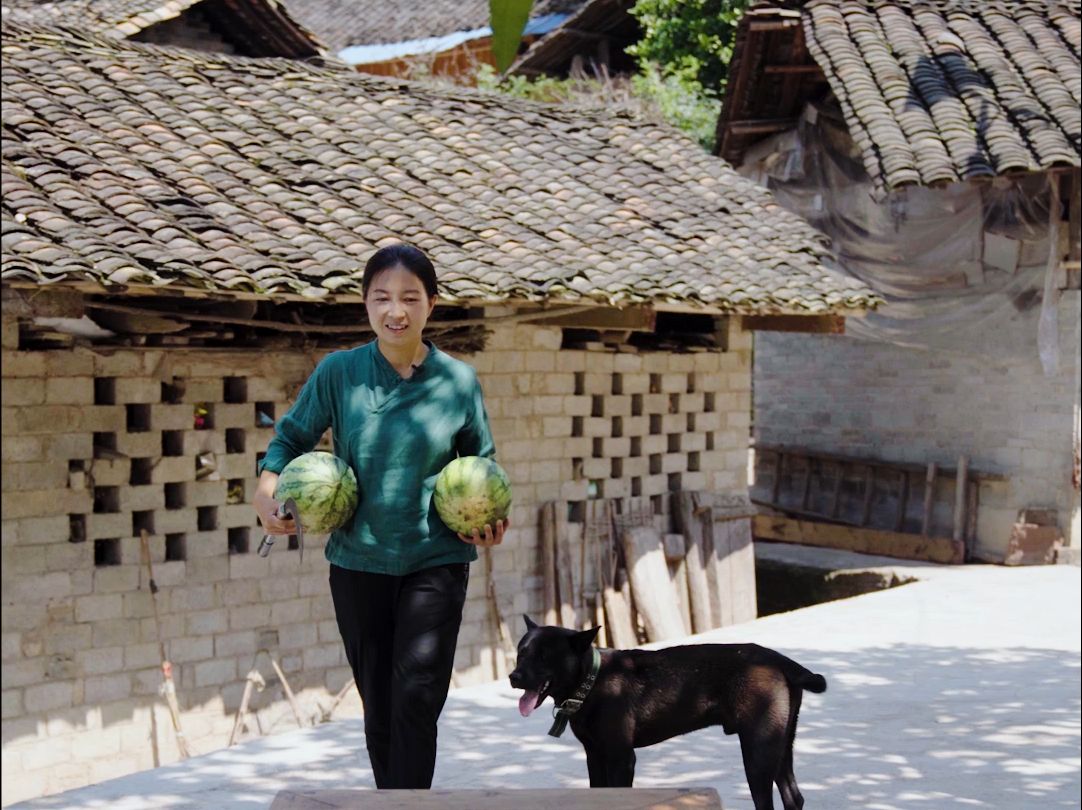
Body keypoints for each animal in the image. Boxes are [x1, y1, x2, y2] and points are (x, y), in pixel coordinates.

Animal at [510, 614, 822, 804]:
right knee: (793, 797)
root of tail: (779, 660)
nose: (513, 677)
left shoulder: (621, 758)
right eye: (520, 653)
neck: (592, 679)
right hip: (781, 744)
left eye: (544, 656)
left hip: (758, 751)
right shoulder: (594, 755)